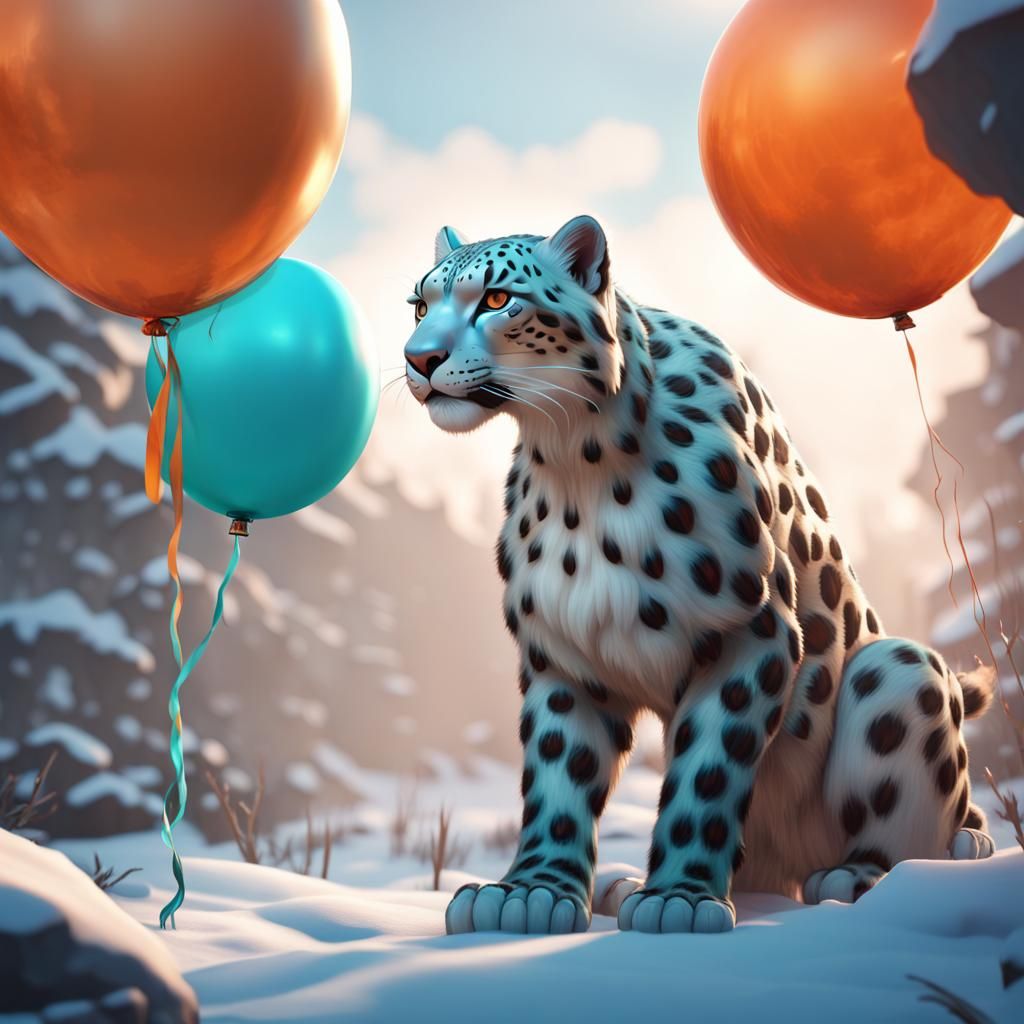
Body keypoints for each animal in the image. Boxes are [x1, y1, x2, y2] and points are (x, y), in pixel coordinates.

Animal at [402, 215, 997, 935]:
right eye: (421, 305)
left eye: (496, 299)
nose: (418, 359)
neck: (575, 465)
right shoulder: (562, 655)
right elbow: (557, 775)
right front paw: (531, 892)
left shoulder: (752, 633)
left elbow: (707, 772)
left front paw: (678, 901)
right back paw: (623, 883)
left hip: (899, 672)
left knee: (917, 828)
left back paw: (861, 876)